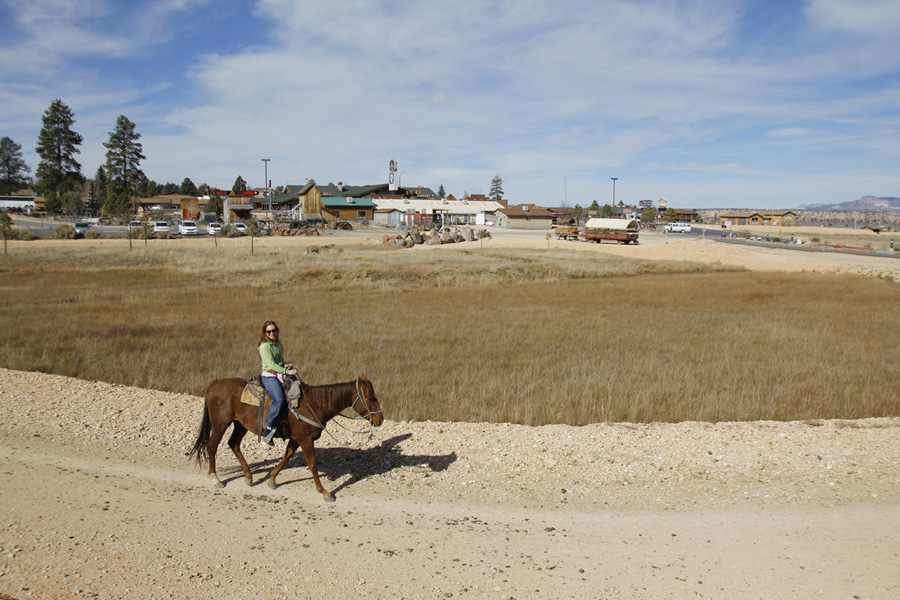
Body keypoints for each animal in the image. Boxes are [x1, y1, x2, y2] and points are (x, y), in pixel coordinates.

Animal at [190, 376, 384, 502]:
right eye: (371, 397)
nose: (380, 419)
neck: (314, 404)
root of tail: (215, 383)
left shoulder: (296, 439)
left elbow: (286, 457)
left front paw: (272, 480)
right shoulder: (305, 439)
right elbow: (312, 465)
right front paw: (324, 492)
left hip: (239, 425)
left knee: (234, 444)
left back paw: (248, 476)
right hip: (220, 424)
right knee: (212, 446)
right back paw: (216, 478)